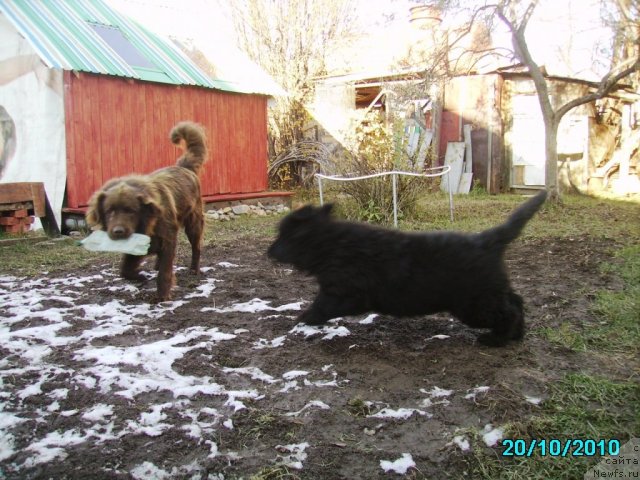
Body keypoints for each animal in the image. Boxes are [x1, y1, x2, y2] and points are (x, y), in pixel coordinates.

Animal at [86, 121, 208, 300]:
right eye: (109, 211)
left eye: (131, 210)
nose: (118, 231)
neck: (149, 221)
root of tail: (184, 167)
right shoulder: (137, 245)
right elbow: (125, 269)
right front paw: (140, 276)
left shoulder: (167, 239)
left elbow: (165, 272)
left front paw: (162, 297)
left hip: (193, 223)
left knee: (196, 247)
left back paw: (194, 269)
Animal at [268, 190, 548, 344]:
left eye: (282, 236)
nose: (268, 251)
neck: (330, 244)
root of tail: (488, 240)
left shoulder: (341, 293)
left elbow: (320, 306)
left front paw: (304, 318)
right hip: (489, 292)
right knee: (516, 301)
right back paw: (516, 334)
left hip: (474, 304)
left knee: (508, 311)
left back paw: (497, 339)